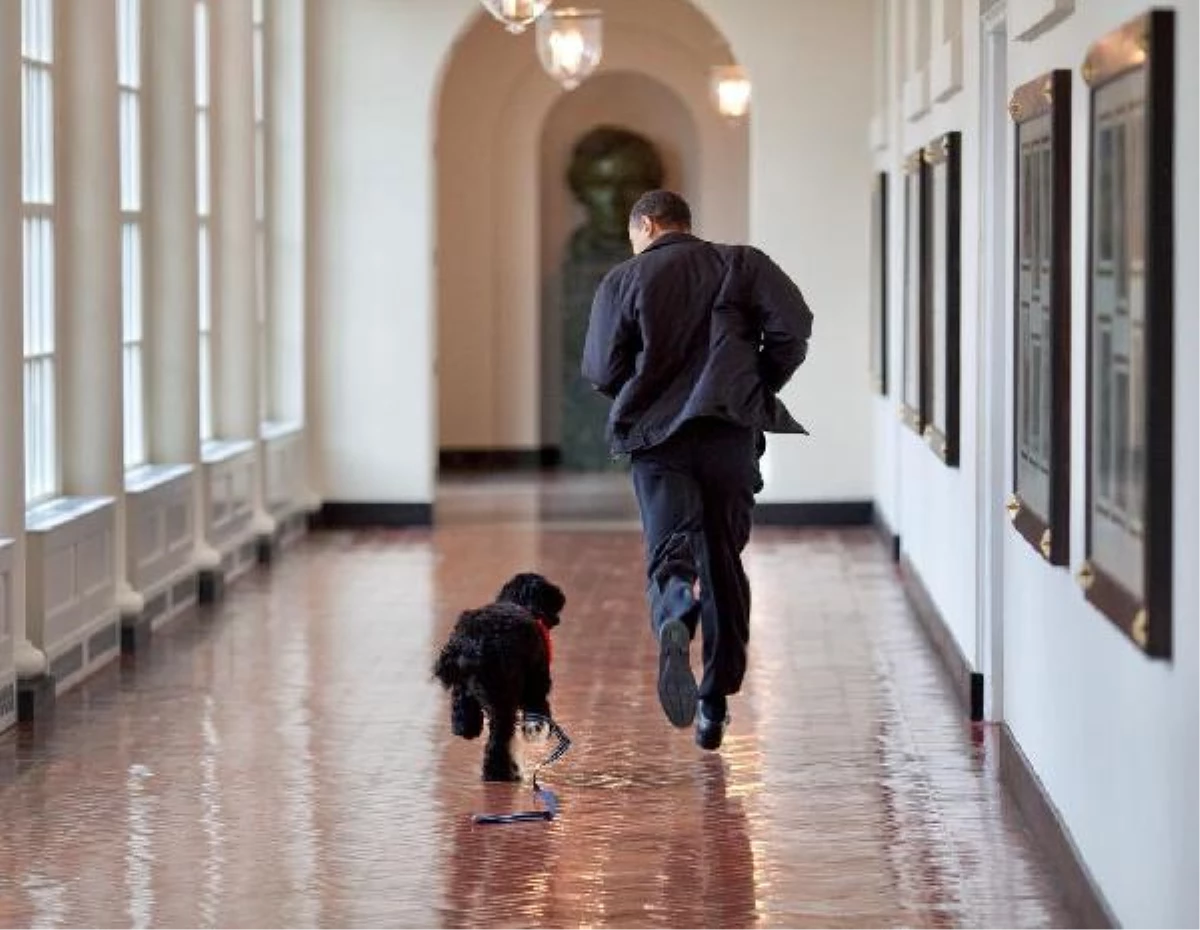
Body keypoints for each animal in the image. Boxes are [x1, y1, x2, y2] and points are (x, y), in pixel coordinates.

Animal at [432, 573, 566, 777]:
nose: (561, 597)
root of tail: (472, 642)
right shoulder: (536, 686)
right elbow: (539, 709)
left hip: (468, 690)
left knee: (465, 717)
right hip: (504, 699)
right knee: (498, 740)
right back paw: (500, 772)